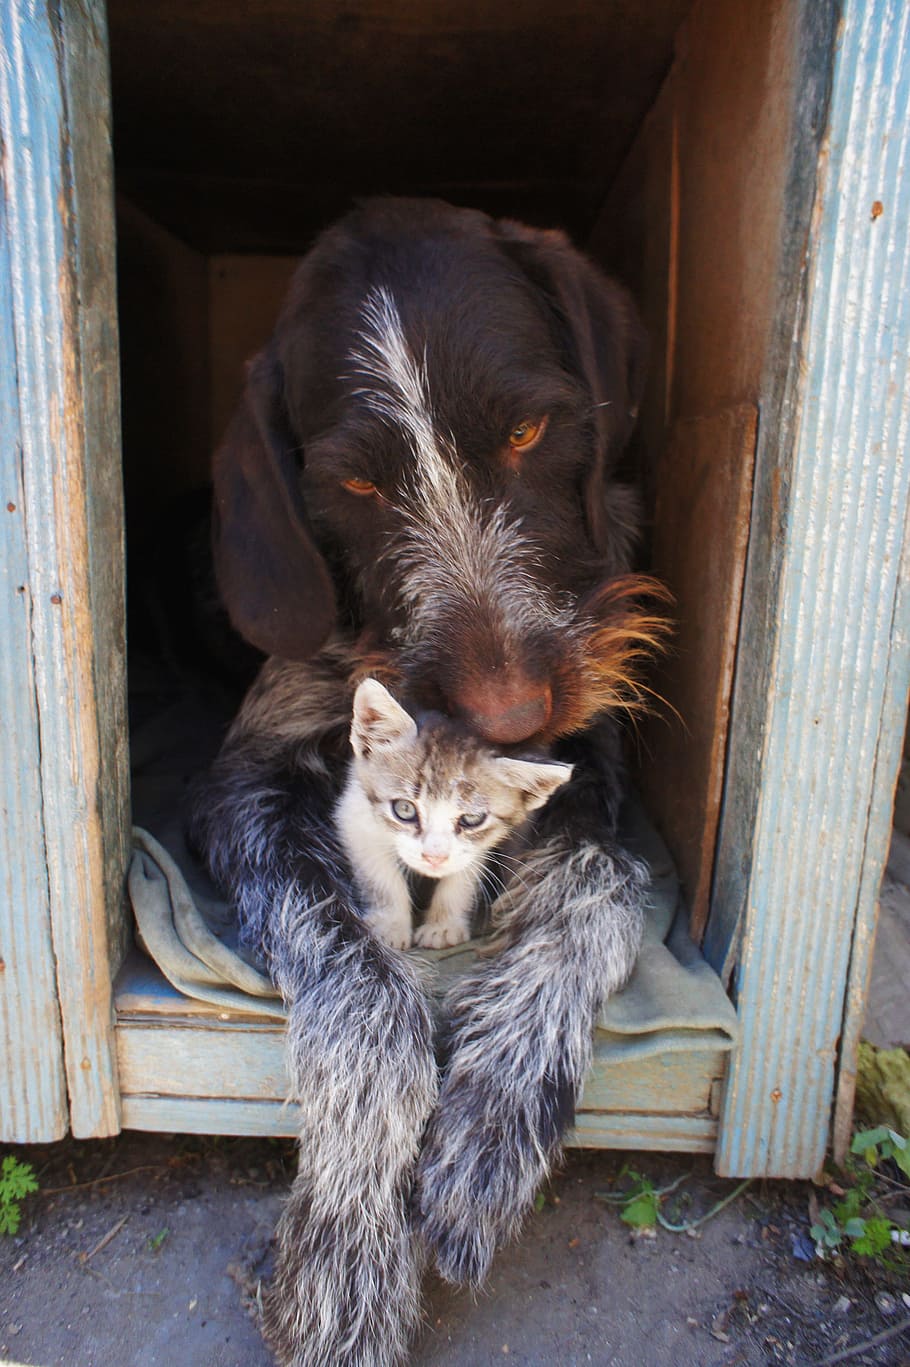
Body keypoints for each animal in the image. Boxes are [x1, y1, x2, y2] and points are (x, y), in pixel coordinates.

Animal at [336, 680, 571, 951]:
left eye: (471, 820)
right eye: (404, 809)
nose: (434, 857)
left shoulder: (479, 843)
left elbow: (463, 876)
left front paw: (444, 925)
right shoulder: (355, 816)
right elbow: (381, 877)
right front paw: (389, 925)